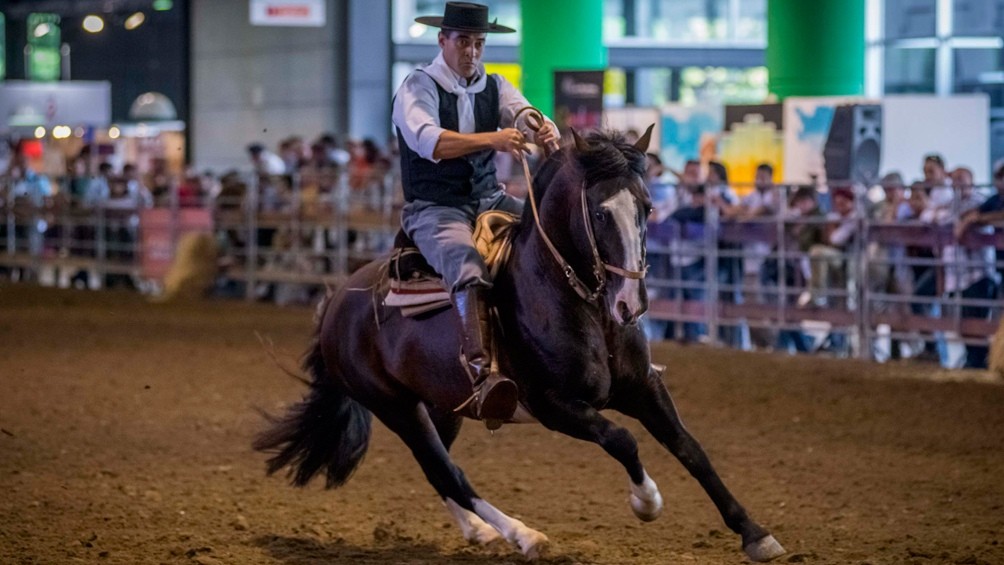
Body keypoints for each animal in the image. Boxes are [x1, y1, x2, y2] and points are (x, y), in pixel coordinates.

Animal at [254, 126, 786, 562]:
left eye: (648, 207)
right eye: (599, 212)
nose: (630, 304)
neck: (582, 306)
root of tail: (336, 304)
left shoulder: (643, 390)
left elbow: (690, 448)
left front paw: (756, 534)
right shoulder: (555, 406)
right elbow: (622, 439)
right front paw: (647, 501)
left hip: (442, 407)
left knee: (438, 468)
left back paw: (481, 532)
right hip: (395, 407)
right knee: (447, 471)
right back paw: (522, 535)